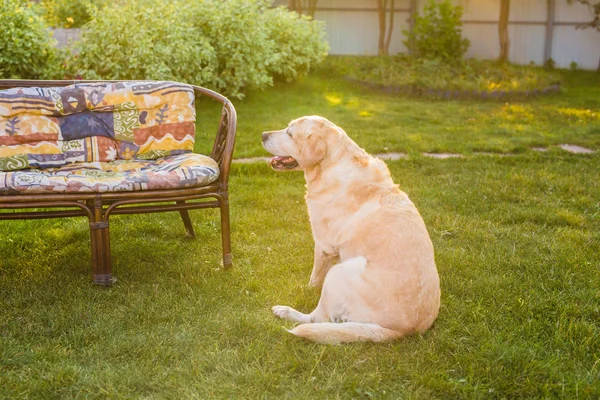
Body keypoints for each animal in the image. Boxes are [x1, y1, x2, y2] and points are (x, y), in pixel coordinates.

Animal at [262, 115, 440, 344]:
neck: (331, 165)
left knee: (316, 318)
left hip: (339, 274)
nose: (263, 135)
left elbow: (315, 277)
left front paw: (307, 288)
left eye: (290, 133)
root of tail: (403, 331)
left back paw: (285, 311)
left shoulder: (323, 246)